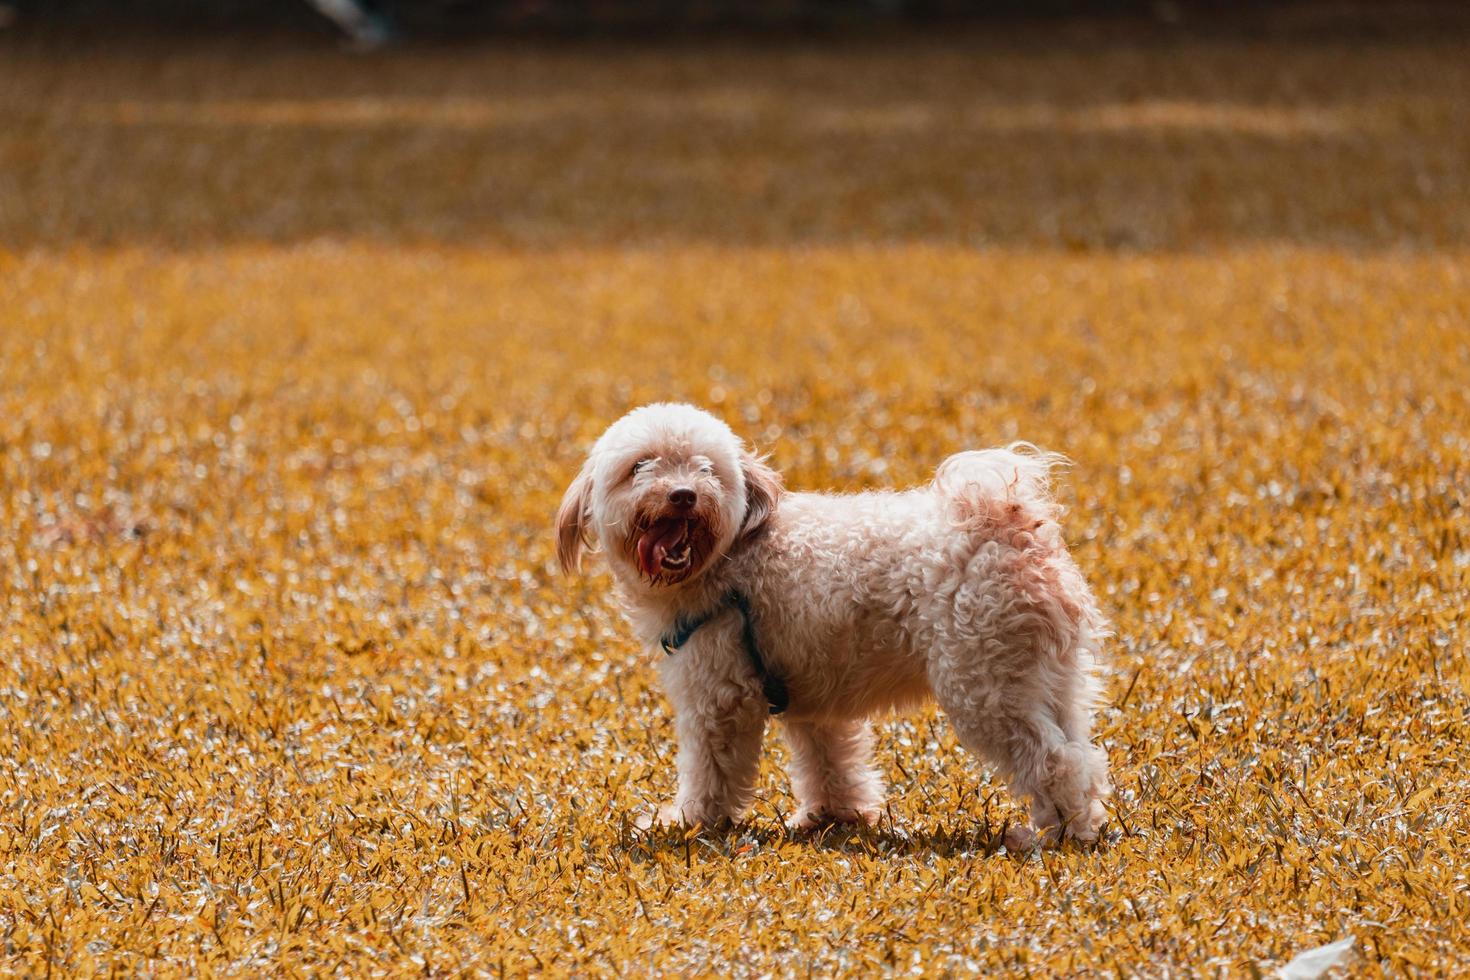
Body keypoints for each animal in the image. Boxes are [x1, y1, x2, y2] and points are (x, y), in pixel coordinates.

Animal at [555, 402, 1105, 846]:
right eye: (640, 467)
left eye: (706, 468)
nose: (684, 494)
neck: (732, 559)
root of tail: (1009, 525)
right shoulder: (811, 695)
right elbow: (830, 761)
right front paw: (835, 816)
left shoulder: (718, 695)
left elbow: (710, 769)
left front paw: (692, 823)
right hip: (1050, 679)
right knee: (1084, 753)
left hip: (985, 685)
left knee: (1054, 760)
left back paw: (1056, 833)